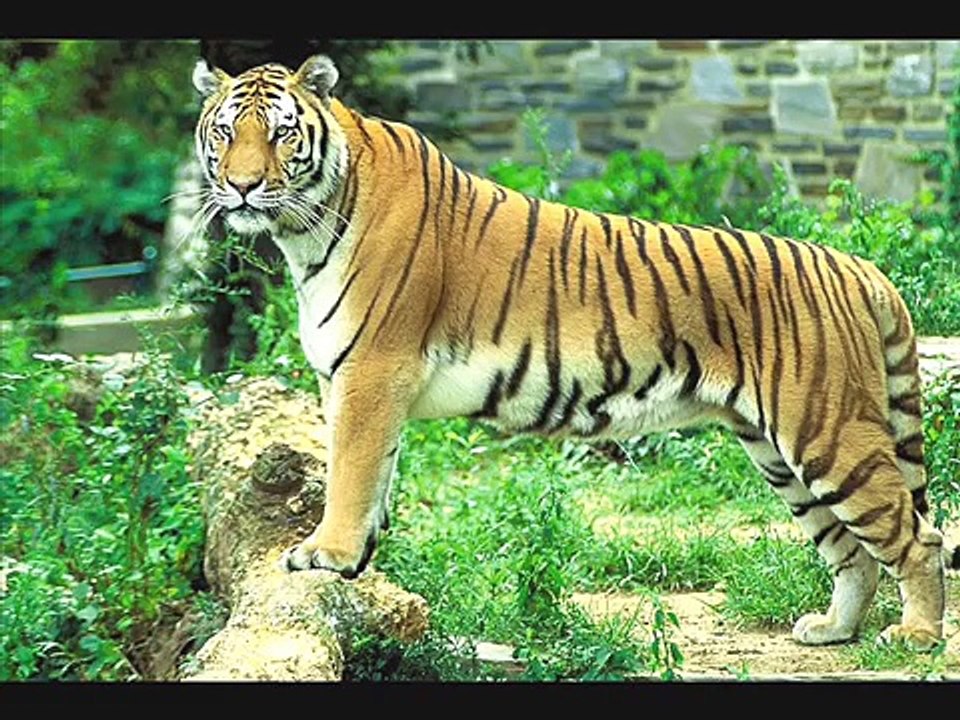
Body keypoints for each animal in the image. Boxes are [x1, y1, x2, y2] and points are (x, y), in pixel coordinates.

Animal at [191, 53, 958, 650]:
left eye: (281, 132)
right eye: (226, 132)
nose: (242, 185)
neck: (305, 230)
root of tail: (856, 266)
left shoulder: (371, 372)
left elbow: (349, 473)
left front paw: (326, 554)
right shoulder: (357, 382)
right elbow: (374, 475)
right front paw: (357, 565)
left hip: (828, 432)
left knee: (917, 537)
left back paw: (915, 636)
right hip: (778, 451)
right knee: (852, 551)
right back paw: (833, 630)